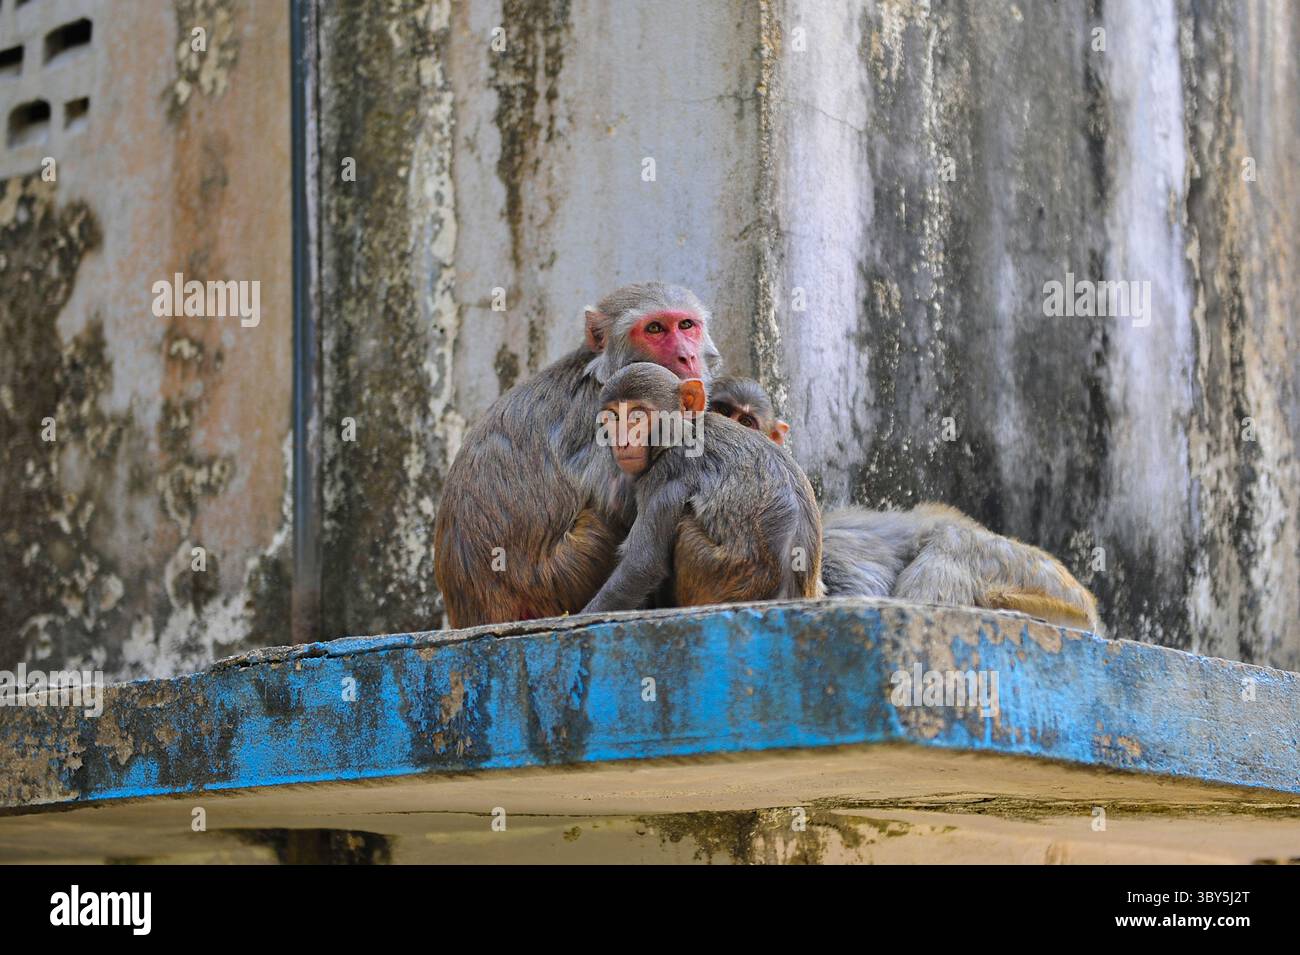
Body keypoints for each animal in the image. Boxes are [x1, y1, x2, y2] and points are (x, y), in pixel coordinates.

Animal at [433, 282, 723, 628]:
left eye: (686, 325)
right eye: (654, 329)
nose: (687, 356)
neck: (602, 373)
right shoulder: (606, 419)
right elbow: (618, 502)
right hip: (559, 577)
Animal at [581, 363, 822, 614]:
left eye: (638, 416)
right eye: (614, 417)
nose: (622, 441)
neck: (684, 431)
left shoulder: (668, 470)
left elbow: (641, 565)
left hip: (716, 572)